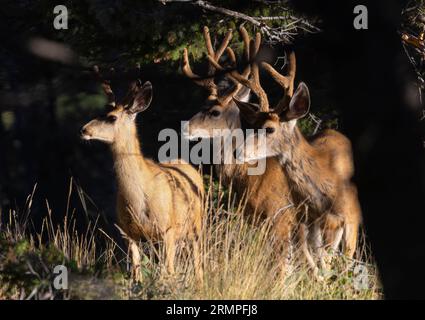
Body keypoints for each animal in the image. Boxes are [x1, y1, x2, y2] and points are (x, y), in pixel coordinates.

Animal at [81, 67, 205, 280]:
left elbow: (169, 271)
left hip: (197, 227)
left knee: (198, 267)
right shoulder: (129, 232)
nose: (84, 130)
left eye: (112, 117)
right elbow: (137, 273)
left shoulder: (168, 229)